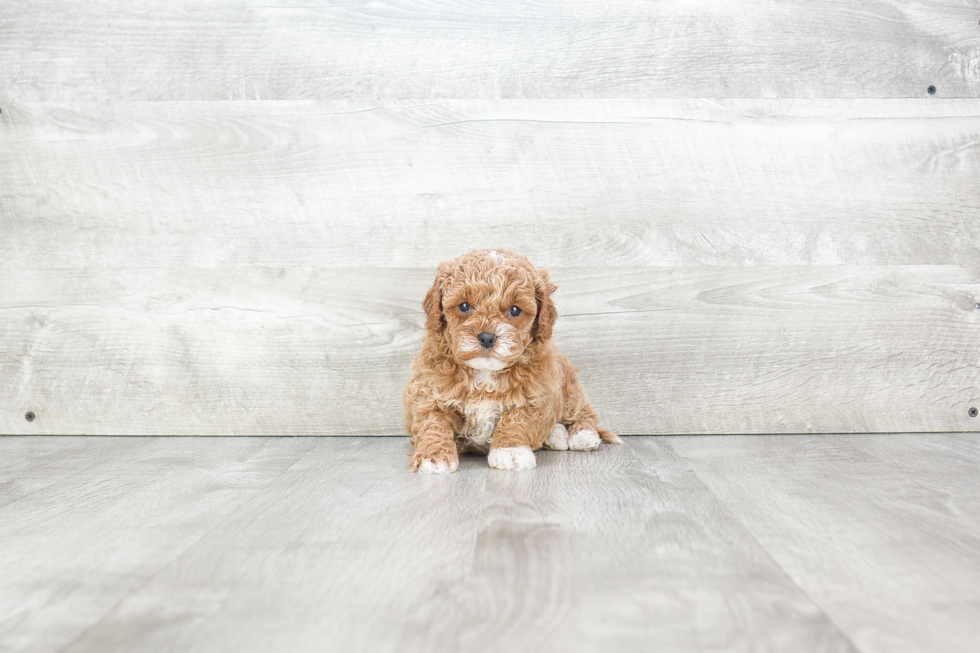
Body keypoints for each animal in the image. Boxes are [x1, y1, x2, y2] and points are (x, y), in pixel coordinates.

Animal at [404, 247, 620, 472]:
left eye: (515, 310)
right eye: (464, 306)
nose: (487, 337)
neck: (485, 373)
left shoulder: (535, 393)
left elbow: (517, 420)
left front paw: (510, 451)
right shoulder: (428, 392)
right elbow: (433, 423)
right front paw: (434, 457)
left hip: (569, 388)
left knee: (583, 413)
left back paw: (583, 435)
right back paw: (557, 435)